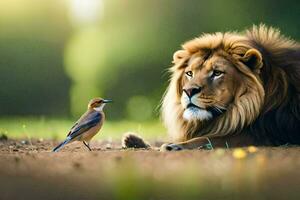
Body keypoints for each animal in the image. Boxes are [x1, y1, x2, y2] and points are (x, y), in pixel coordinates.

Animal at [122, 24, 300, 150]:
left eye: (217, 73)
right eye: (189, 73)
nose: (189, 91)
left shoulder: (264, 135)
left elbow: (210, 138)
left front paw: (174, 146)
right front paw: (134, 141)